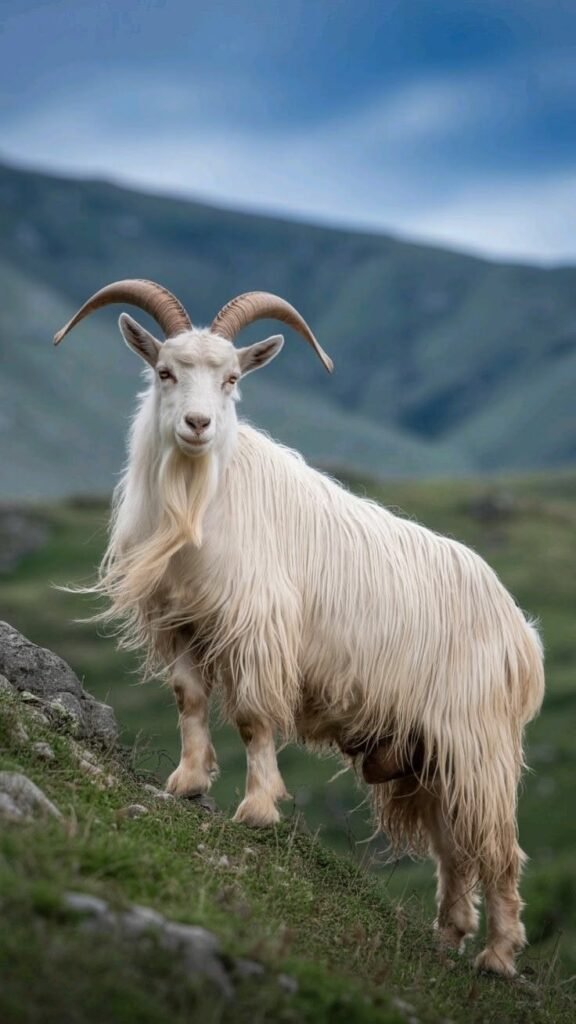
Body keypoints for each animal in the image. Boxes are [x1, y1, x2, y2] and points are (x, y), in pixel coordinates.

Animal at [54, 279, 544, 977]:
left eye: (232, 379)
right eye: (165, 371)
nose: (197, 425)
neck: (199, 503)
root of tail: (521, 634)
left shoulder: (257, 631)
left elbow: (254, 719)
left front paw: (257, 810)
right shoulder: (181, 626)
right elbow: (190, 700)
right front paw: (187, 782)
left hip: (479, 746)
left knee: (499, 850)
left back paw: (498, 957)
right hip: (428, 755)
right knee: (454, 848)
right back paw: (447, 937)